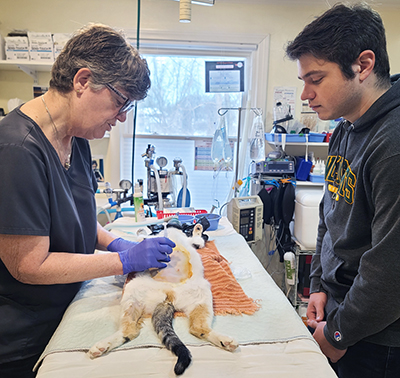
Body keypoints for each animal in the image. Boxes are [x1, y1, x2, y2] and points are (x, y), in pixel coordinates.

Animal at [87, 221, 238, 376]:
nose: (166, 224)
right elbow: (142, 240)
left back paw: (224, 341)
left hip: (201, 293)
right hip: (134, 290)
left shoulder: (194, 242)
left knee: (197, 328)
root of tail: (168, 295)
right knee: (130, 331)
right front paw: (142, 233)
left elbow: (197, 239)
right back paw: (101, 346)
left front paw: (197, 228)